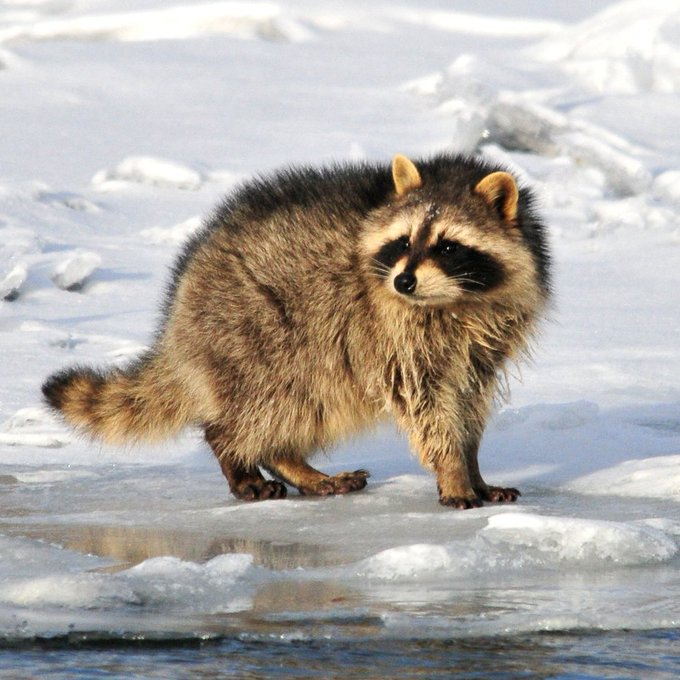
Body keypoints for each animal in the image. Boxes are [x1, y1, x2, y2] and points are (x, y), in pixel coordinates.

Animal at [42, 153, 550, 509]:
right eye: (403, 241)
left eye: (447, 247)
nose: (403, 282)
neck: (454, 302)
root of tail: (181, 302)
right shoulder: (394, 332)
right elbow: (425, 405)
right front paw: (453, 471)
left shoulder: (483, 341)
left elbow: (467, 403)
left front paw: (474, 467)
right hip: (256, 329)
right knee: (272, 402)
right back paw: (239, 454)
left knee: (307, 403)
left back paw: (290, 462)